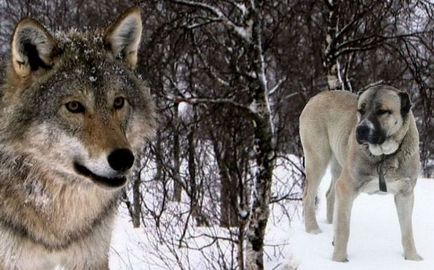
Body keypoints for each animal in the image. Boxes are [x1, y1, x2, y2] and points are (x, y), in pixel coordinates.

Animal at [300, 86, 422, 262]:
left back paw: (330, 224)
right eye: (360, 110)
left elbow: (407, 231)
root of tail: (317, 96)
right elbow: (344, 229)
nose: (361, 129)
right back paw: (313, 230)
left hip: (339, 163)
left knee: (330, 194)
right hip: (317, 159)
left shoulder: (405, 193)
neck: (384, 157)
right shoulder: (347, 187)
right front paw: (339, 259)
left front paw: (412, 258)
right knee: (308, 196)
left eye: (382, 111)